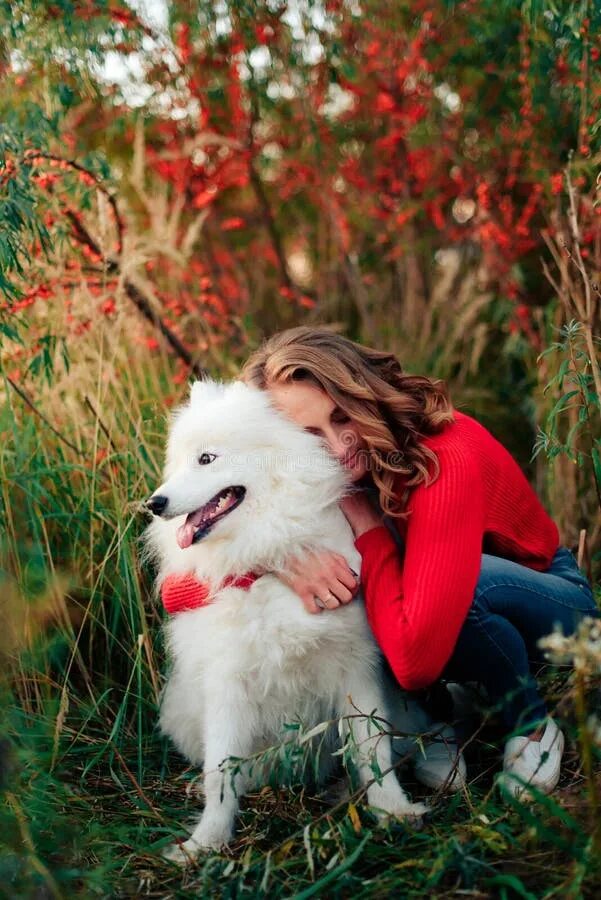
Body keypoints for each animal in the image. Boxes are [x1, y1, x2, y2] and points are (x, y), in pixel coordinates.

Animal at [142, 376, 432, 860]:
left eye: (207, 459)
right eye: (180, 463)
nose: (154, 503)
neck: (271, 552)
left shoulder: (357, 667)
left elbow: (372, 748)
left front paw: (391, 809)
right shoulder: (228, 681)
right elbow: (220, 771)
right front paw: (206, 842)